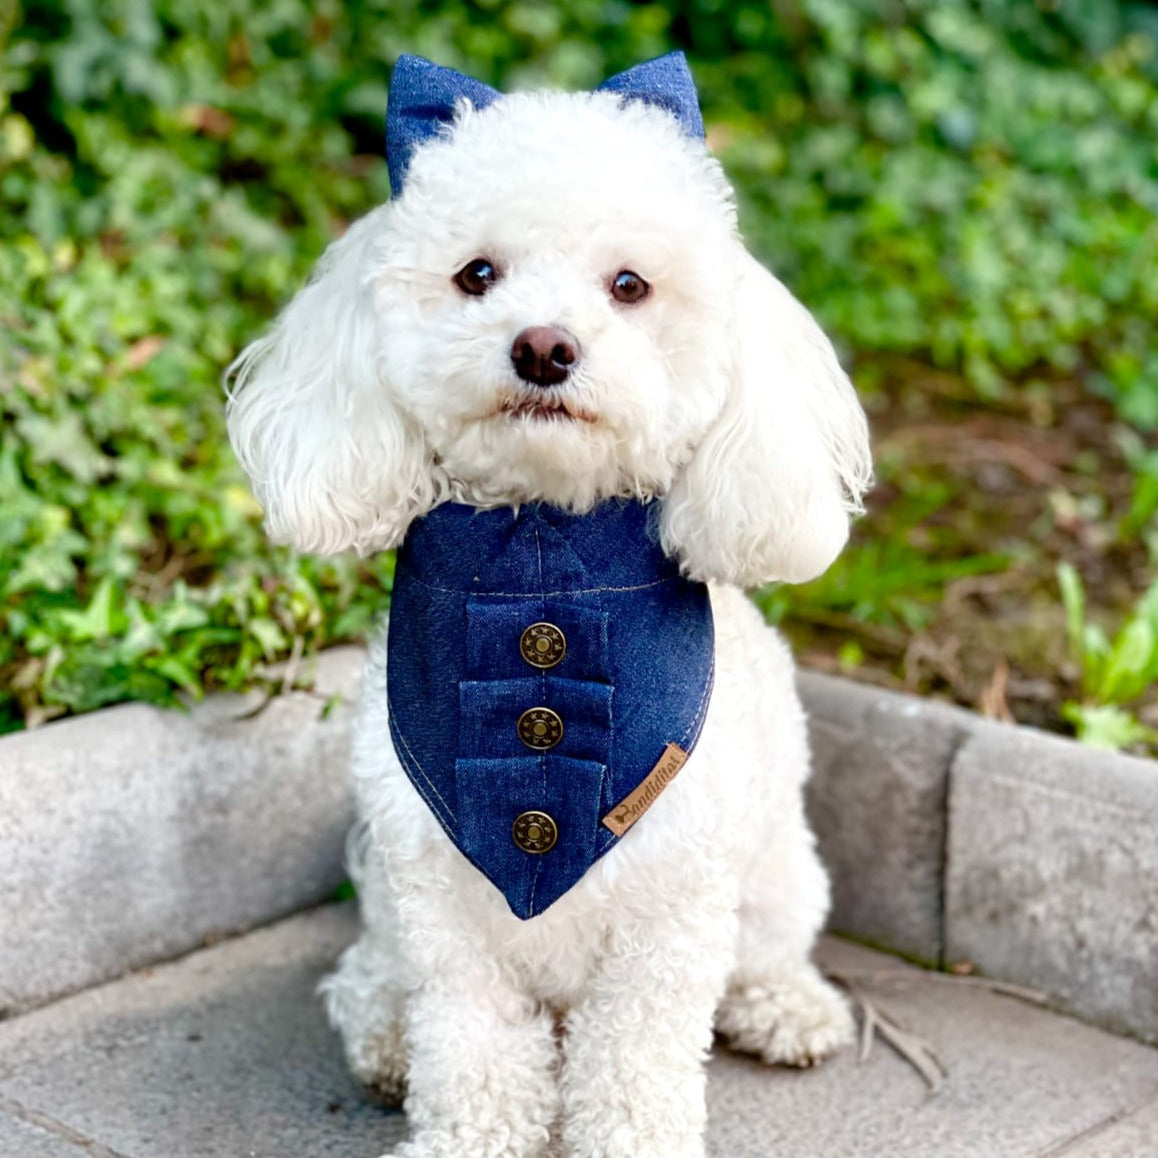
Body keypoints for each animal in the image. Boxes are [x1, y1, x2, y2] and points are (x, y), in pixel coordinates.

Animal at [228, 61, 870, 1158]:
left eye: (629, 285)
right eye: (477, 274)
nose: (543, 347)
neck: (540, 567)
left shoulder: (669, 913)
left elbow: (637, 1067)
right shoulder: (443, 905)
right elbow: (472, 1052)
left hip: (780, 876)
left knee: (765, 953)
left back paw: (788, 1007)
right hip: (389, 897)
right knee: (369, 980)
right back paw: (385, 1040)